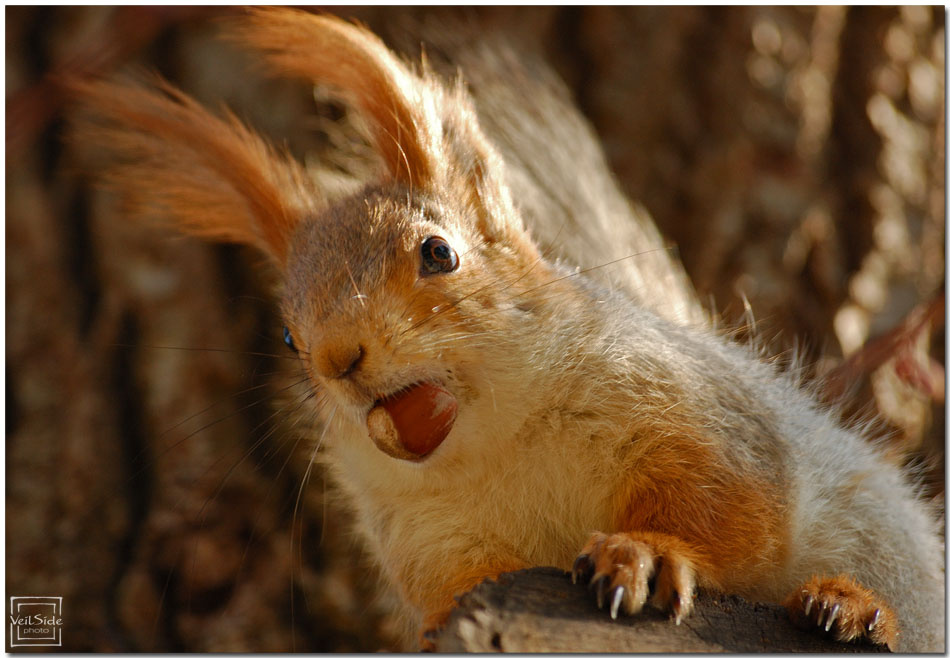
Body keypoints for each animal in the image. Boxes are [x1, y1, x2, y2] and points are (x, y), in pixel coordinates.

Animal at [70, 8, 944, 652]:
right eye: (288, 338)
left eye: (439, 252)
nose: (340, 357)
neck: (495, 448)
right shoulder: (433, 545)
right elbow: (454, 593)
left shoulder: (701, 418)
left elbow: (732, 514)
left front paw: (646, 552)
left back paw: (852, 606)